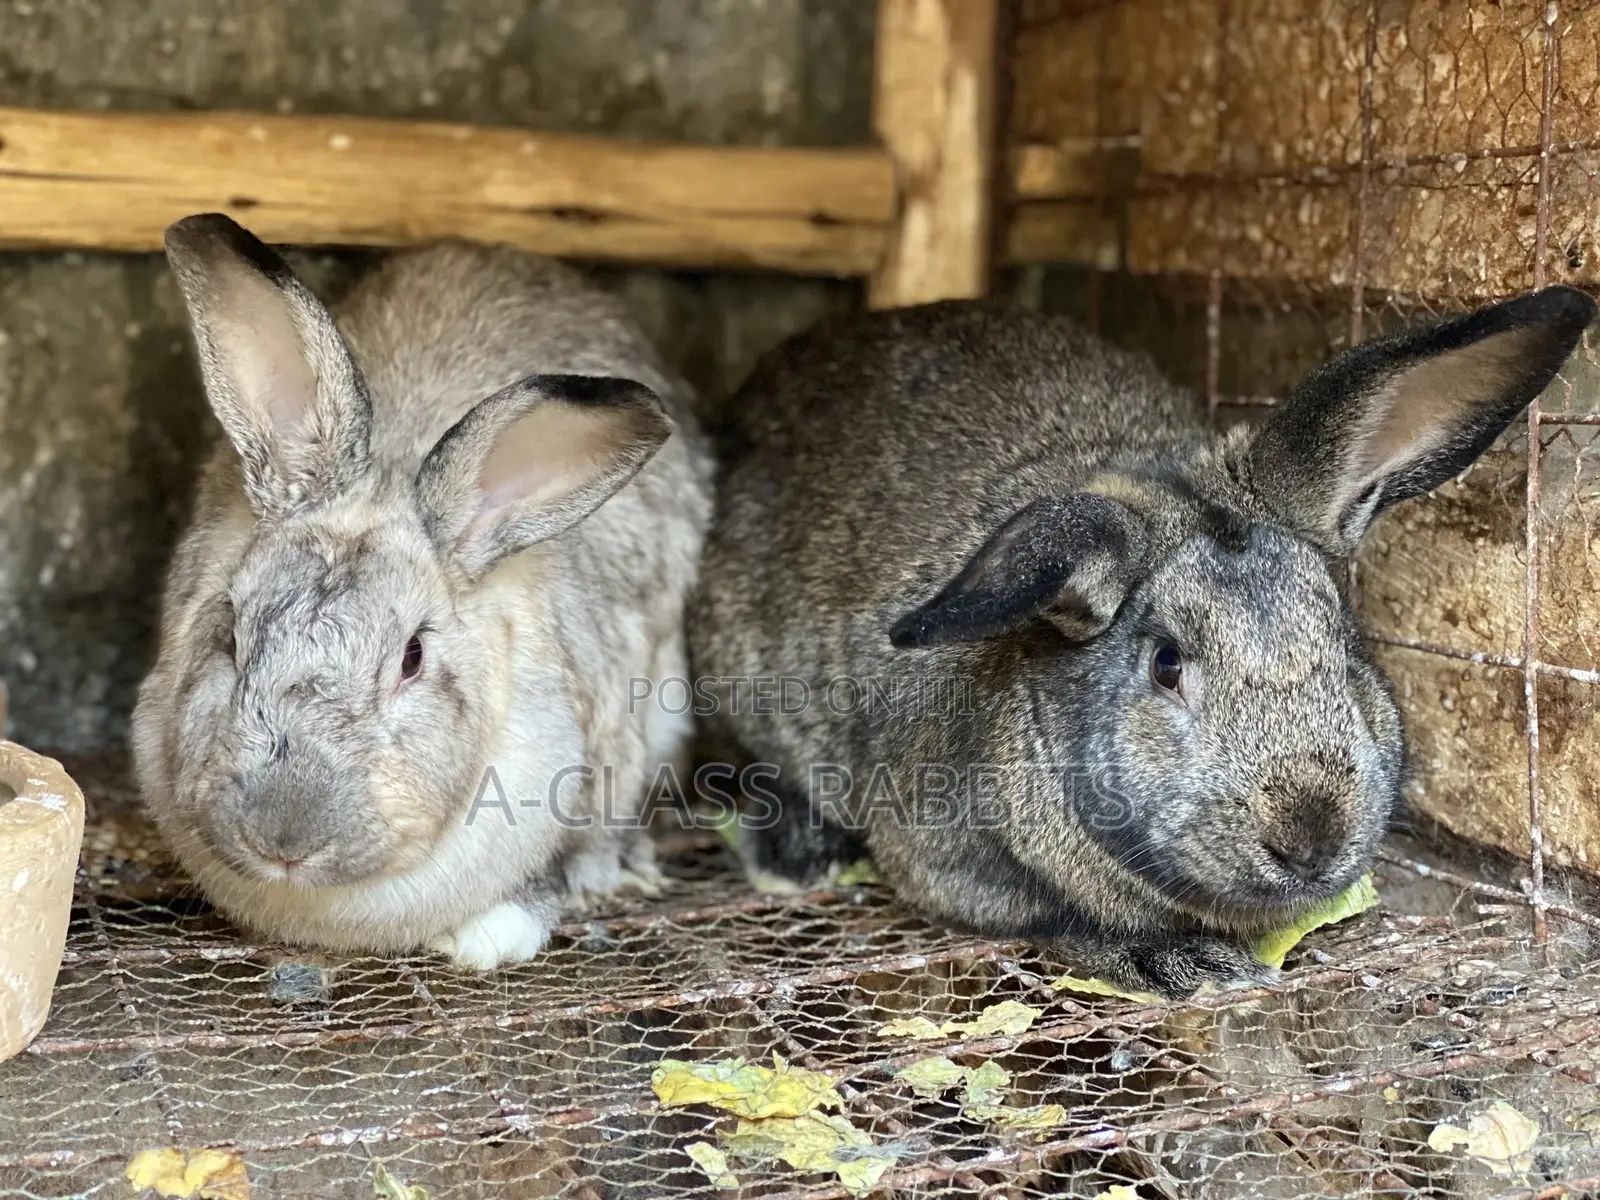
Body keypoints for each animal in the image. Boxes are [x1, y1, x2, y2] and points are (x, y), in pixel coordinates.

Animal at [688, 286, 1595, 998]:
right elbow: (1054, 919)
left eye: (1346, 648)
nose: (1311, 840)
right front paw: (1183, 961)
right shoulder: (941, 857)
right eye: (1166, 665)